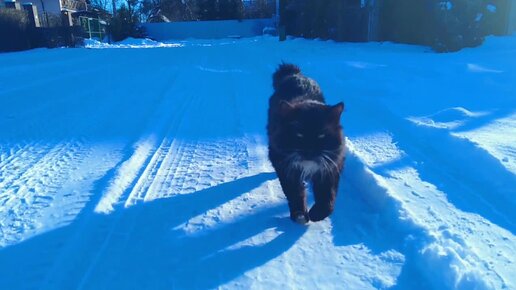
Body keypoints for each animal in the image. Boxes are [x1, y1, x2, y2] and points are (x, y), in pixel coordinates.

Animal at [268, 62, 344, 223]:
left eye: (321, 135)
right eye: (299, 135)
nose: (309, 150)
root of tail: (294, 75)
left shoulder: (331, 166)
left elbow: (327, 194)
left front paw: (318, 213)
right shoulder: (286, 168)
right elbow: (295, 193)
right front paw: (299, 214)